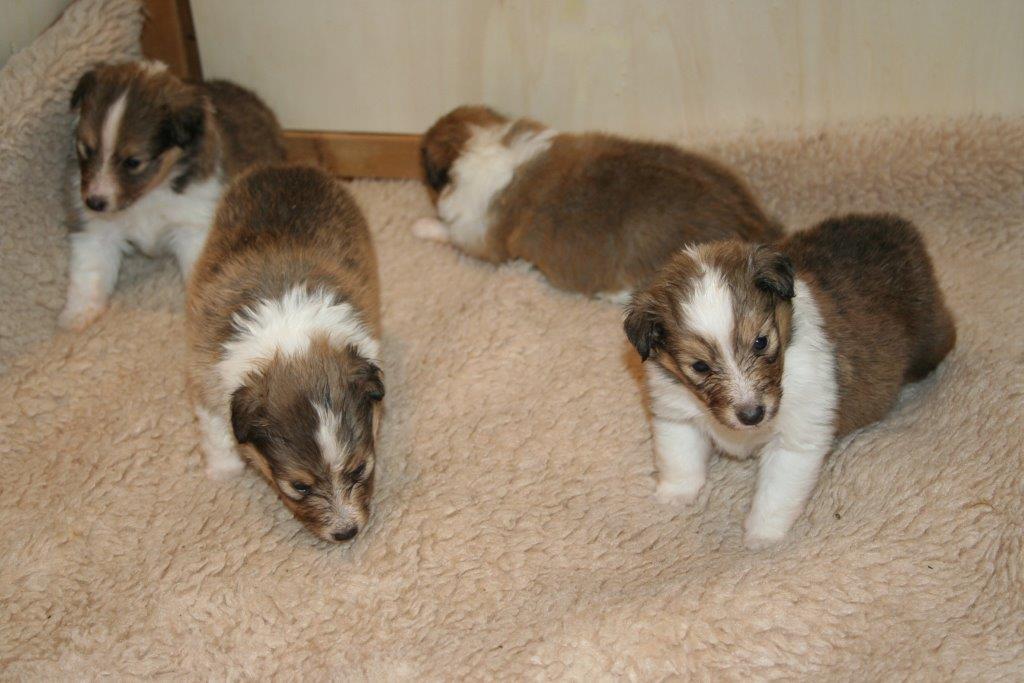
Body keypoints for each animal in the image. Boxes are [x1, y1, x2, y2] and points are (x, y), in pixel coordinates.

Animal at [62, 60, 285, 330]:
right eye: (85, 149)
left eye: (133, 161)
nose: (94, 202)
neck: (149, 195)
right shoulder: (96, 230)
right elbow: (89, 269)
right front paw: (78, 315)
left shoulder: (193, 227)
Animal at [187, 164, 383, 543]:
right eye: (299, 486)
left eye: (359, 468)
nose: (346, 533)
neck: (291, 343)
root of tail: (286, 166)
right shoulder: (209, 377)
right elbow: (215, 428)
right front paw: (223, 470)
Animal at [624, 214, 956, 547]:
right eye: (700, 366)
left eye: (760, 342)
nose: (752, 416)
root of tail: (897, 224)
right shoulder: (676, 411)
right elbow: (679, 457)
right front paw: (675, 495)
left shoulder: (796, 439)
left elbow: (775, 494)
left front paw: (762, 535)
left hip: (931, 339)